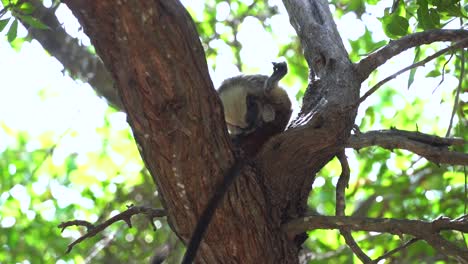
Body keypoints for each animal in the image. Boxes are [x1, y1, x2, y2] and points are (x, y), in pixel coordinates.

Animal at [181, 61, 290, 262]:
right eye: (245, 127)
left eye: (252, 118)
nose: (256, 127)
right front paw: (237, 138)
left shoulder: (254, 84)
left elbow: (268, 90)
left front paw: (272, 81)